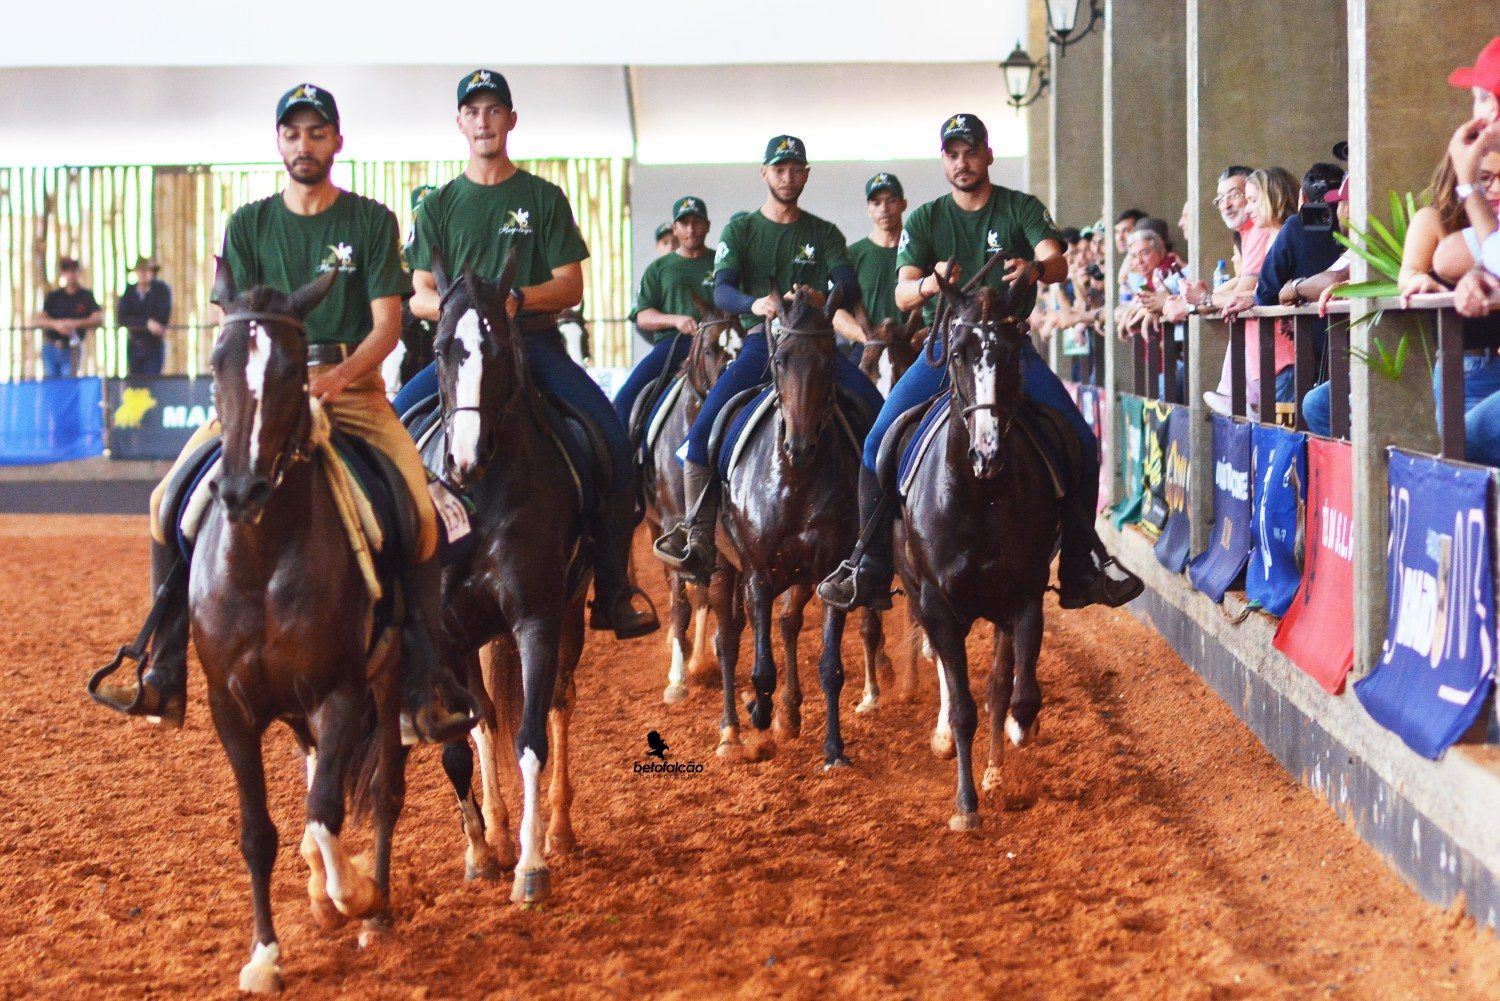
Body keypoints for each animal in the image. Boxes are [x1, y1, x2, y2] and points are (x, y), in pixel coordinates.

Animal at [192, 265, 411, 996]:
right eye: (217, 361)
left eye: (293, 370)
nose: (241, 492)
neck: (261, 565)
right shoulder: (231, 708)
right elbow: (259, 831)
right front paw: (264, 954)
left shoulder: (340, 692)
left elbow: (325, 811)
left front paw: (355, 895)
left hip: (386, 679)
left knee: (384, 788)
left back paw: (374, 909)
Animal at [423, 252, 591, 906]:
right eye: (440, 346)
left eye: (501, 348)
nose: (465, 458)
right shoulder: (446, 632)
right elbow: (460, 743)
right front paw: (479, 852)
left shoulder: (537, 620)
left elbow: (531, 738)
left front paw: (530, 864)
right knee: (486, 719)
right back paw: (494, 829)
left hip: (571, 614)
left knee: (559, 704)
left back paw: (558, 829)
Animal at [639, 306, 744, 705]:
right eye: (711, 349)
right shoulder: (671, 527)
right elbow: (680, 601)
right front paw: (677, 678)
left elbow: (713, 598)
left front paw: (704, 656)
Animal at [711, 289, 876, 768]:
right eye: (781, 359)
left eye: (829, 361)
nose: (799, 446)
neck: (795, 480)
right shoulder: (758, 573)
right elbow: (761, 667)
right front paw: (759, 714)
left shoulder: (830, 575)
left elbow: (830, 668)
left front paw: (834, 750)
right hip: (723, 565)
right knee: (729, 639)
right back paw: (732, 731)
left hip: (800, 575)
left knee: (785, 624)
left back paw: (788, 712)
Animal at [894, 264, 1062, 828]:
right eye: (957, 351)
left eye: (1013, 352)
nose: (986, 452)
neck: (978, 495)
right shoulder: (938, 603)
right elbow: (964, 701)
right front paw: (966, 807)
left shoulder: (1022, 596)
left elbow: (1011, 692)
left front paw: (1010, 748)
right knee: (949, 678)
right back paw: (944, 736)